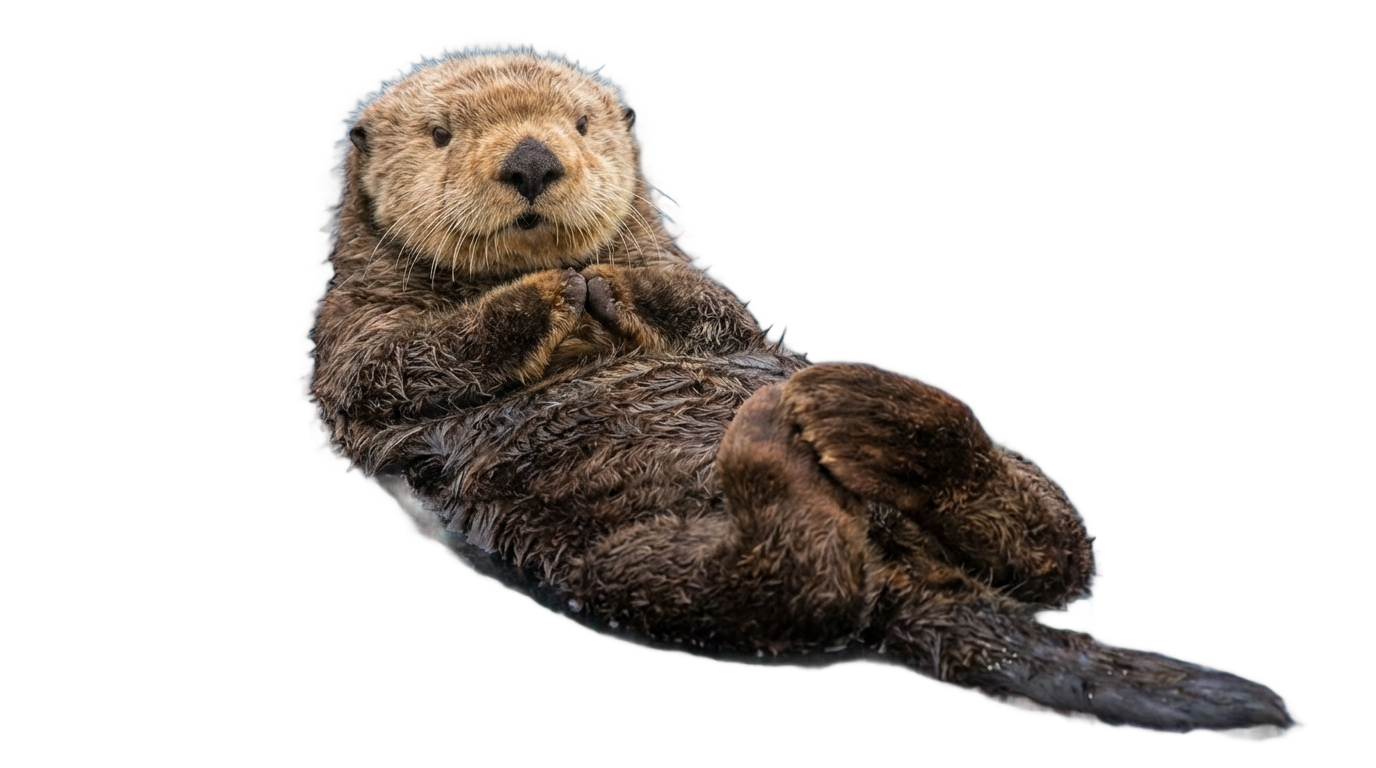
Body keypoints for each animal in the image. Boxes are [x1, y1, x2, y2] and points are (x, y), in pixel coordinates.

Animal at [311, 52, 1287, 728]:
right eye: (441, 134)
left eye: (582, 124)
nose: (530, 160)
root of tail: (912, 577)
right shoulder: (351, 340)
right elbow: (401, 364)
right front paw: (545, 294)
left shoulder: (708, 296)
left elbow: (713, 314)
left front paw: (617, 281)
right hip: (628, 568)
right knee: (805, 584)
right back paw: (781, 442)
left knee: (1056, 546)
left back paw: (858, 410)